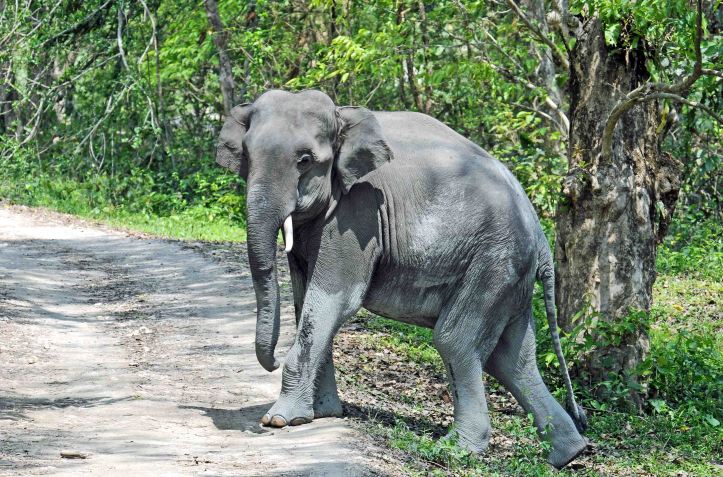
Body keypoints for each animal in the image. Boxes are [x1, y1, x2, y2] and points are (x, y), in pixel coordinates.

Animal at [215, 89, 588, 468]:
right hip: (511, 276)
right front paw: (321, 415)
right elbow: (305, 298)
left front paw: (280, 419)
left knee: (456, 340)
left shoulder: (359, 212)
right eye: (246, 155)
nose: (272, 360)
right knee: (513, 358)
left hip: (494, 262)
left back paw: (458, 448)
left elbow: (334, 300)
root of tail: (541, 237)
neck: (343, 117)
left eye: (305, 160)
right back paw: (568, 453)